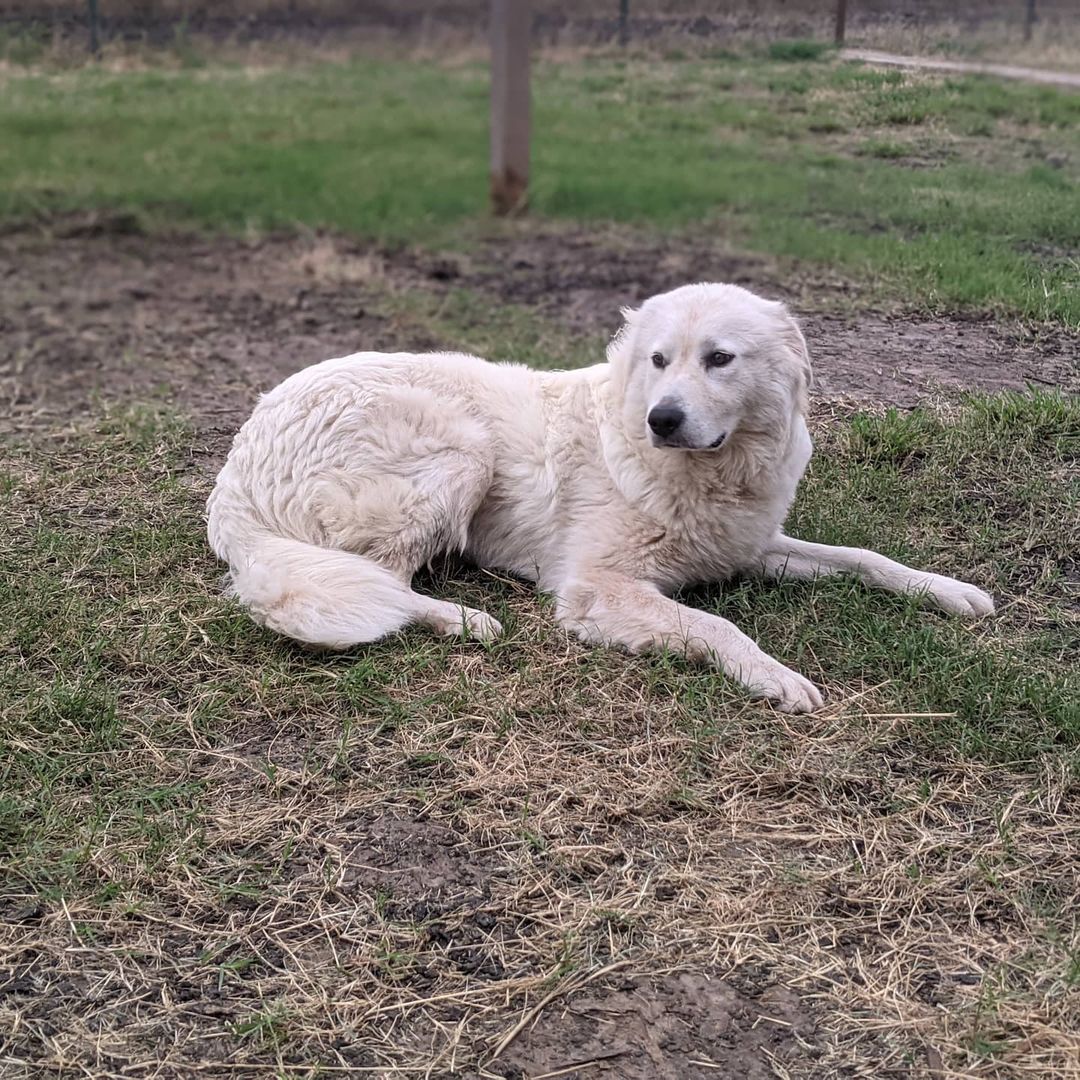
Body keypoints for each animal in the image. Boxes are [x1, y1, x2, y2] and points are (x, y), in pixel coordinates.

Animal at [208, 282, 993, 712]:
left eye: (719, 358)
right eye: (658, 361)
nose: (662, 419)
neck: (711, 471)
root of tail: (237, 467)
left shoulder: (750, 547)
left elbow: (865, 557)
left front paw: (950, 591)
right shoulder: (598, 587)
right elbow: (716, 627)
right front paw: (774, 677)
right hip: (462, 450)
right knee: (383, 580)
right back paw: (463, 619)